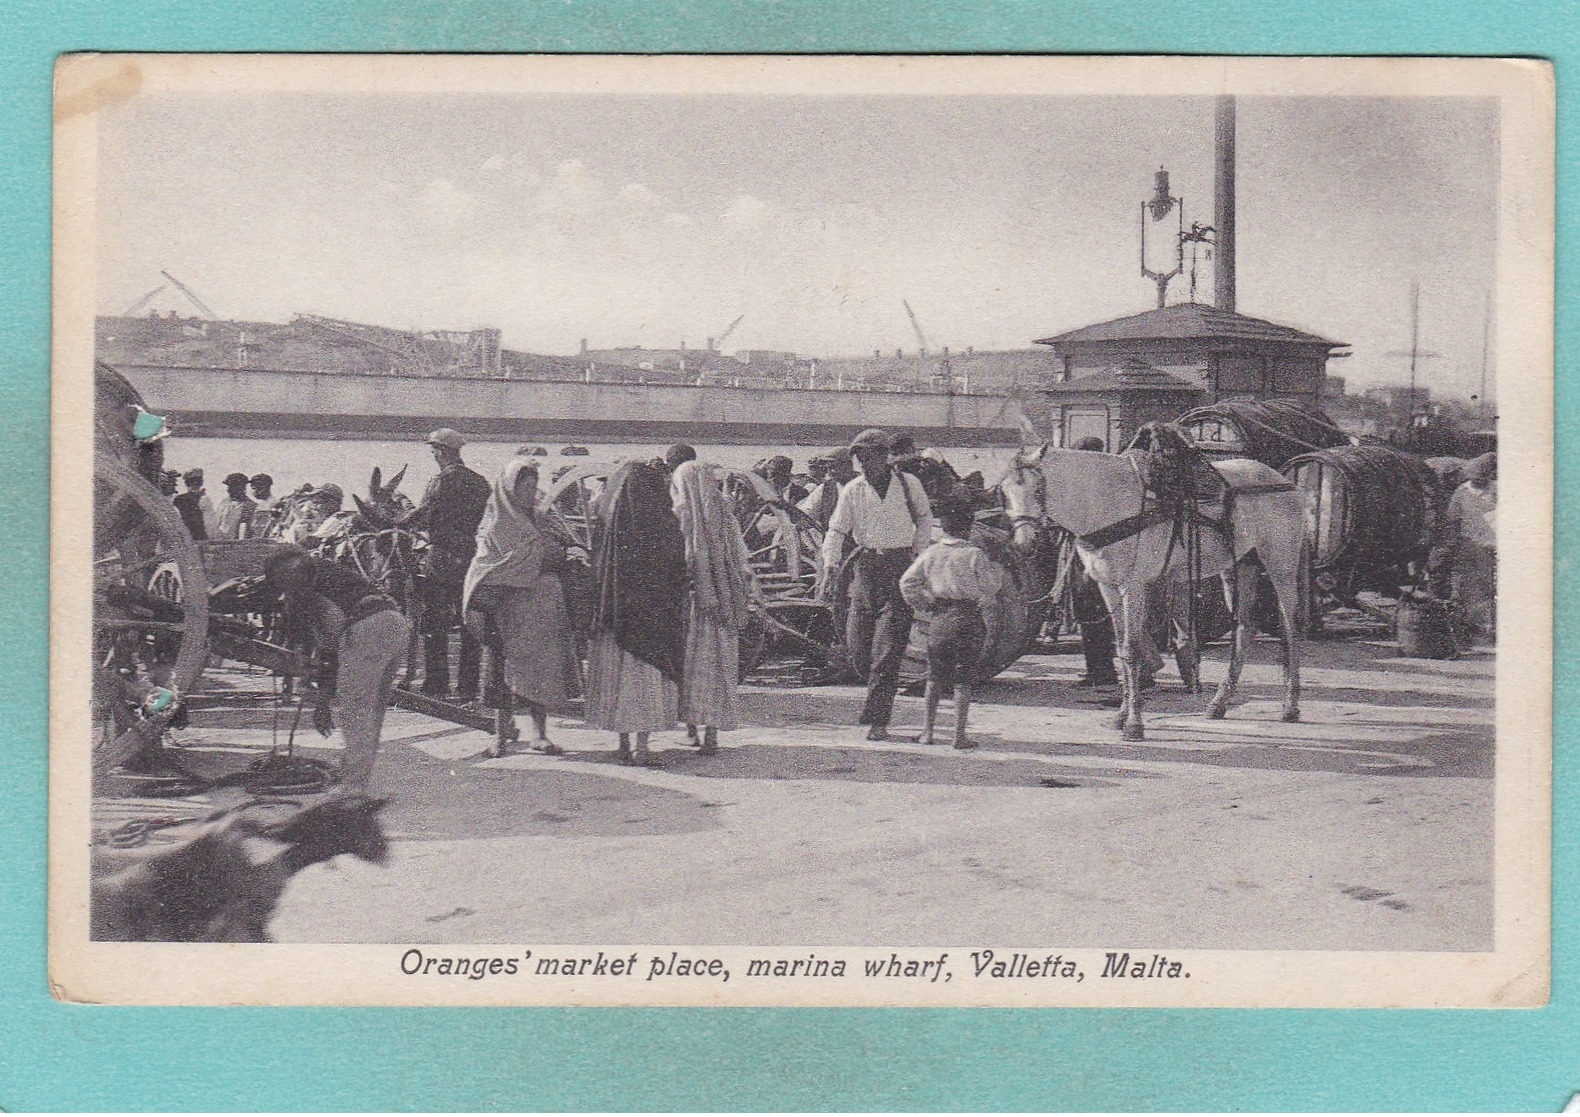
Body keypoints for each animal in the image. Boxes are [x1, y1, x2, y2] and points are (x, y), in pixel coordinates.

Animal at [998, 442, 1308, 739]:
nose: (1025, 543)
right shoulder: (1108, 586)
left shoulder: (1133, 586)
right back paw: (1219, 704)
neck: (1106, 501)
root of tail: (1286, 484)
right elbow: (1121, 649)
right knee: (1244, 629)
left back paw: (1290, 706)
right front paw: (1121, 716)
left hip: (1281, 566)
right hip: (1240, 567)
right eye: (1004, 492)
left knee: (1290, 629)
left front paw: (1134, 724)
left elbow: (1132, 650)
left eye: (1039, 489)